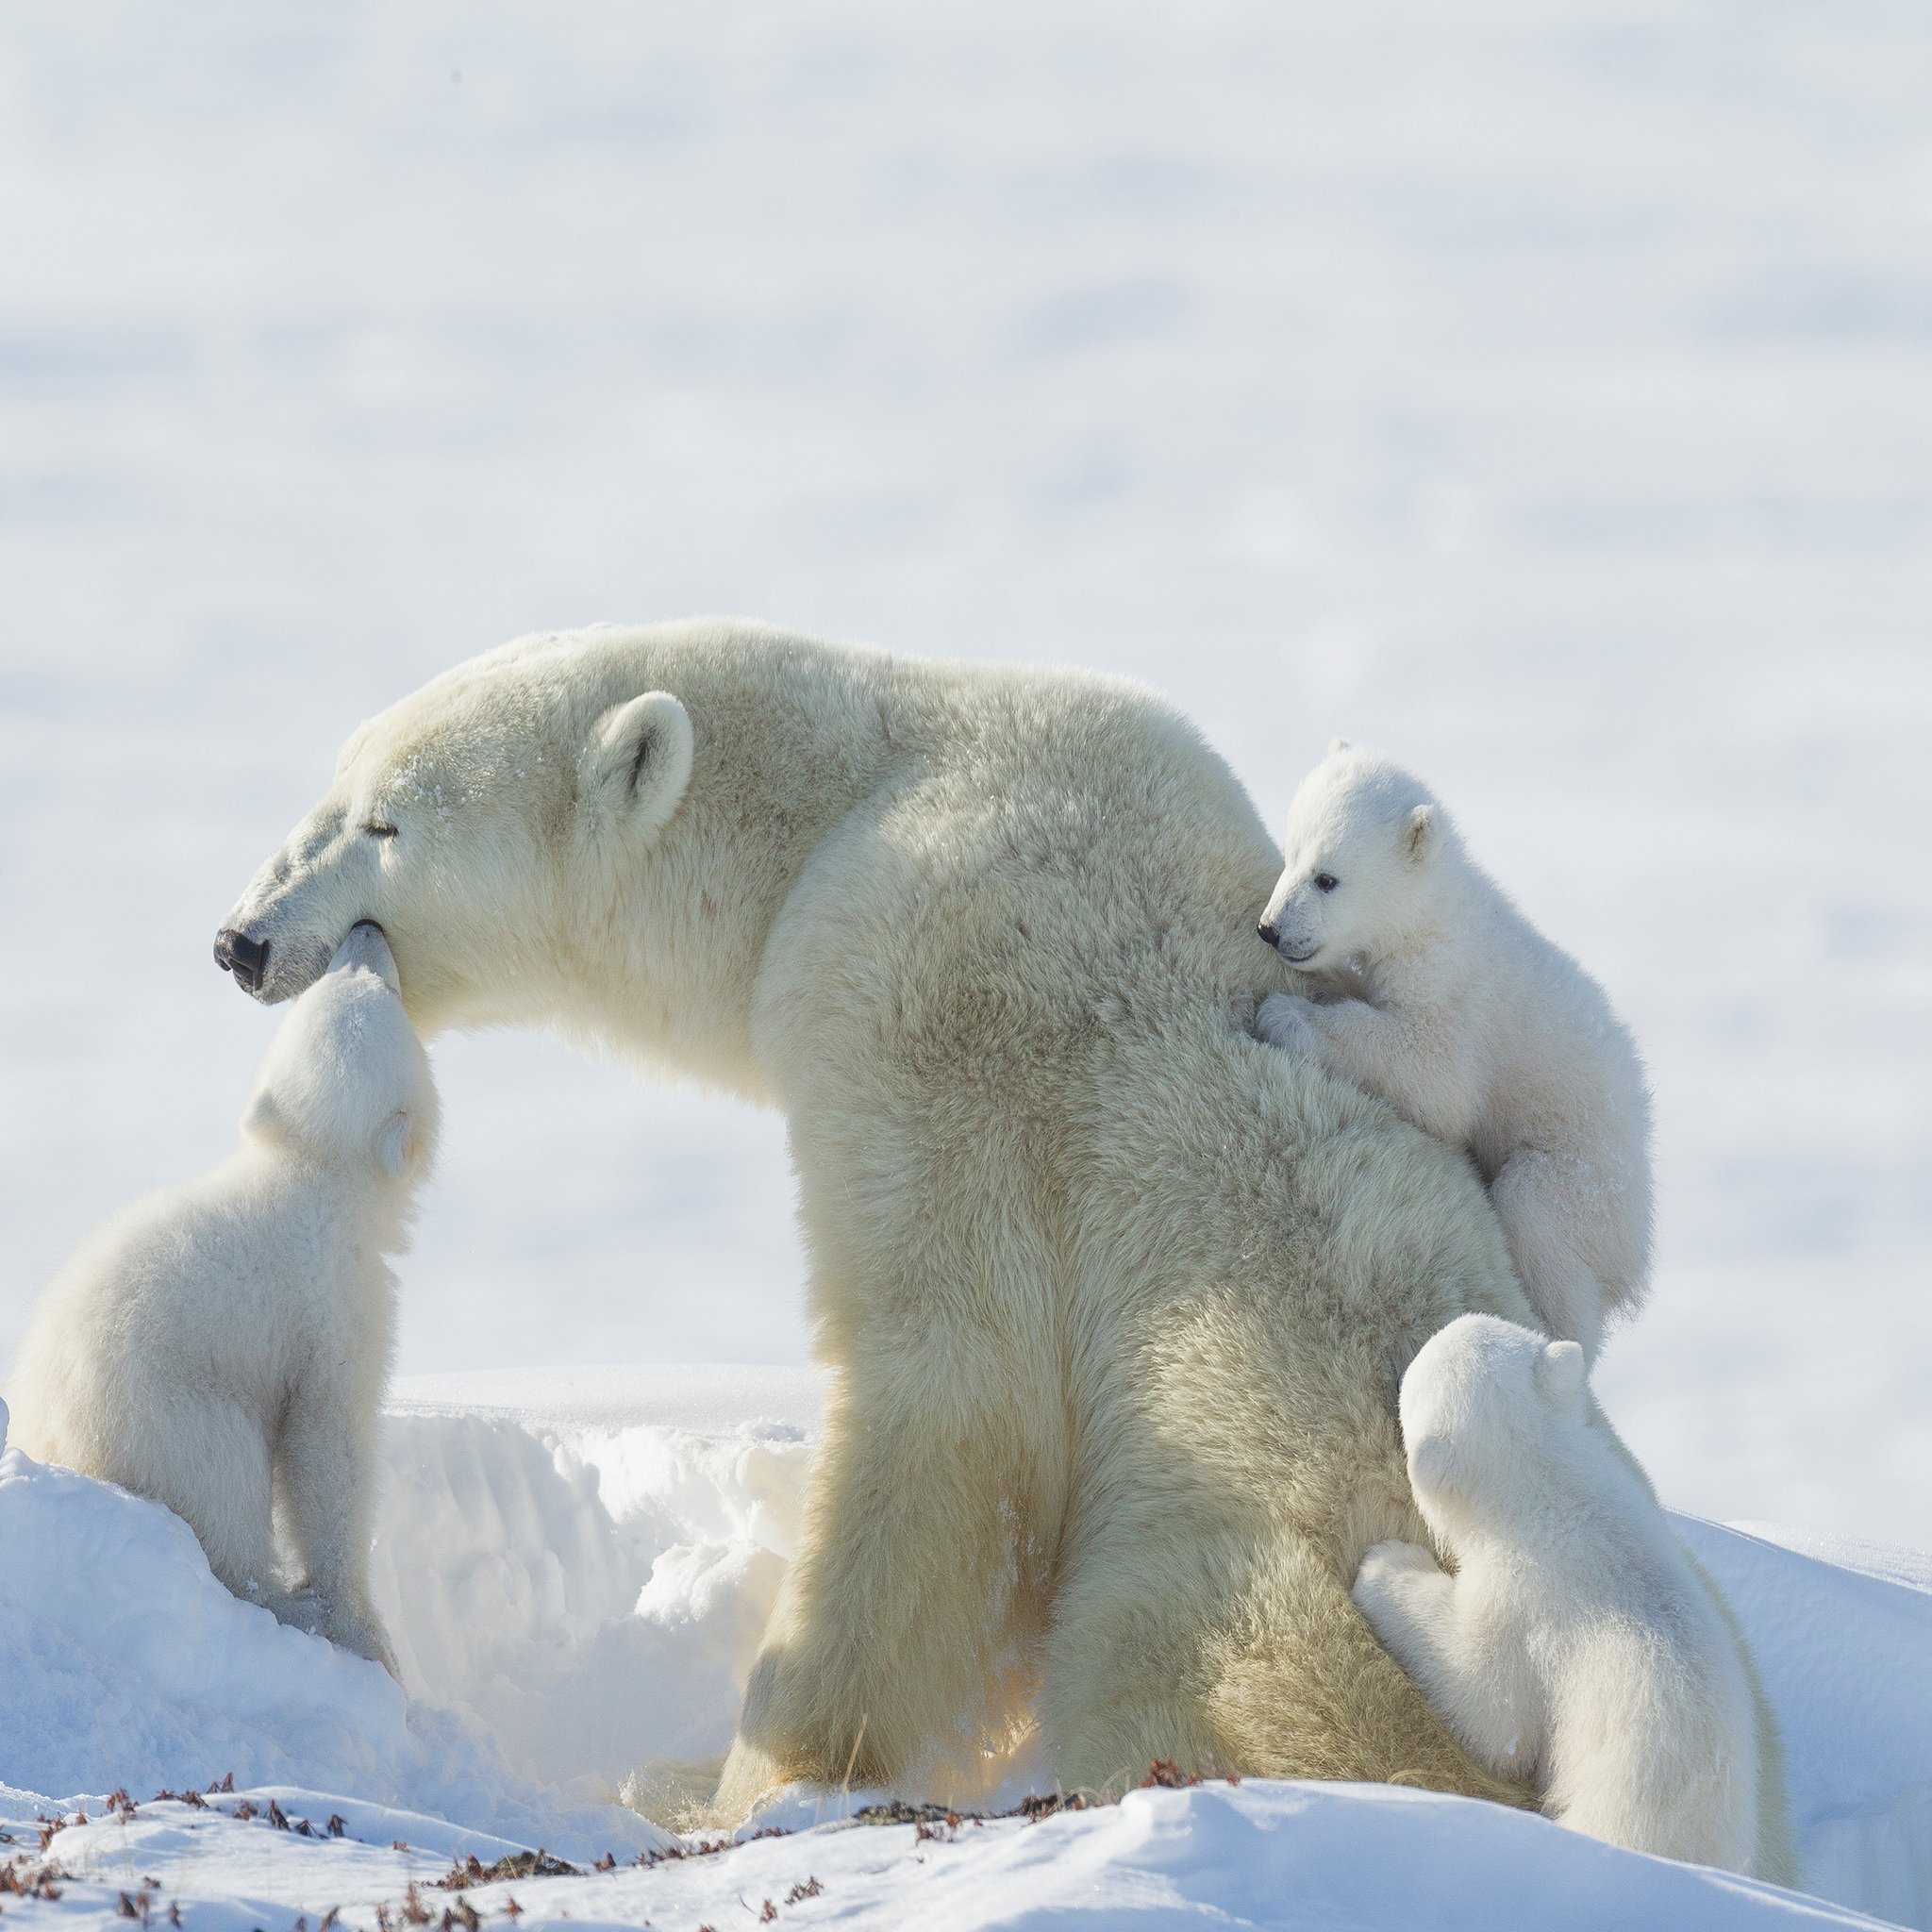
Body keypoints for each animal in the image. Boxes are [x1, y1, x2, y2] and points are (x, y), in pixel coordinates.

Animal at [6, 922, 435, 1675]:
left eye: (341, 976)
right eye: (372, 987)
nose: (366, 929)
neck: (313, 1174)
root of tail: (54, 1441)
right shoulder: (335, 1307)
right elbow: (327, 1448)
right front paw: (359, 1629)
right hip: (168, 1418)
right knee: (225, 1490)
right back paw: (282, 1606)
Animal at [1254, 742, 1652, 1363]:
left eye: (1327, 878)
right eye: (1290, 853)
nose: (1270, 929)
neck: (1432, 913)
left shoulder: (1451, 987)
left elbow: (1436, 1077)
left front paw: (1286, 1016)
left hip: (1586, 1178)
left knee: (1537, 1216)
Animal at [1352, 1313, 1765, 1873]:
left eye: (1413, 1377)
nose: (1395, 1363)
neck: (1557, 1492)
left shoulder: (1525, 1599)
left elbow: (1489, 1707)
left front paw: (1383, 1565)